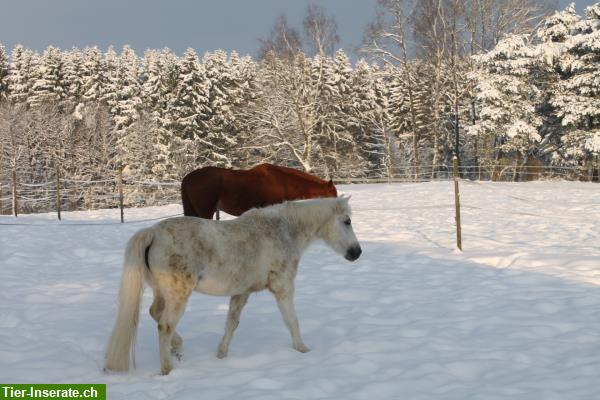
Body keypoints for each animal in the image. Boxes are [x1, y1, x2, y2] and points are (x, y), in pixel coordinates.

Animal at [104, 197, 360, 376]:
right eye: (347, 221)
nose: (356, 252)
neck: (283, 230)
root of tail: (153, 233)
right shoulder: (283, 287)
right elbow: (291, 320)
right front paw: (302, 349)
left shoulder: (241, 292)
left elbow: (231, 323)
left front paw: (221, 354)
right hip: (178, 296)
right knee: (165, 325)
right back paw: (167, 369)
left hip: (161, 293)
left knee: (155, 313)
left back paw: (178, 348)